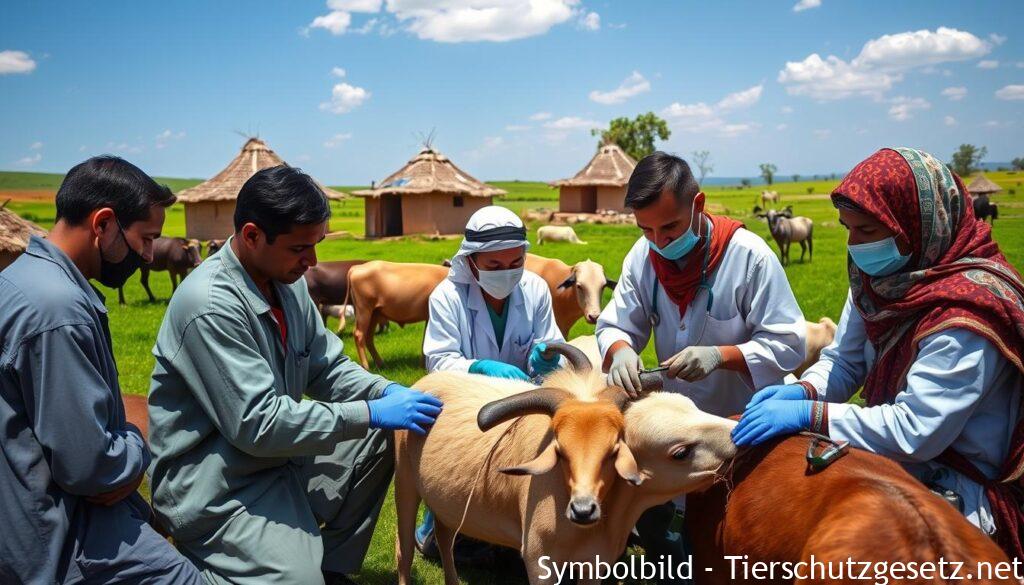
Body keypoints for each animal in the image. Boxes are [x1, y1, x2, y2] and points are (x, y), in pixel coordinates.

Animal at [391, 344, 737, 585]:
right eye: (680, 452)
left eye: (612, 450)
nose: (736, 435)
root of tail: (426, 381)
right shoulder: (538, 561)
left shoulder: (595, 562)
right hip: (405, 486)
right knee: (405, 551)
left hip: (445, 501)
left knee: (445, 537)